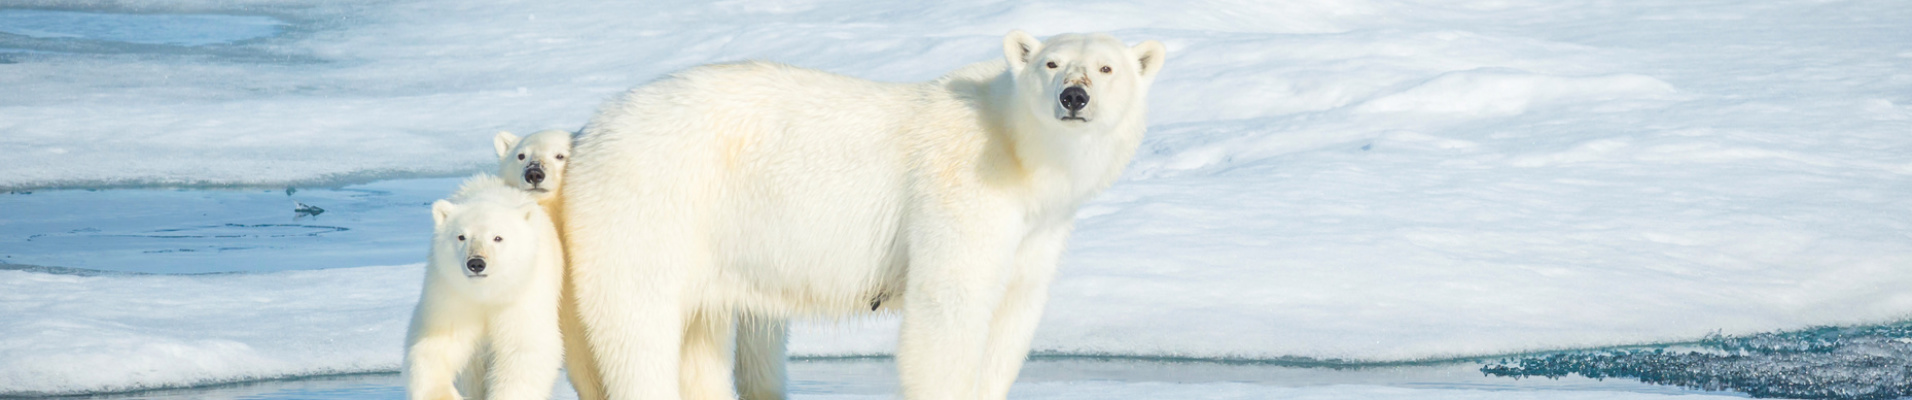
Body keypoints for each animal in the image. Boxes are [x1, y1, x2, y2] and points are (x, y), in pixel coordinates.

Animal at [558, 32, 1162, 400]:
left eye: (1107, 67)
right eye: (1051, 63)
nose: (1074, 96)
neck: (1017, 152)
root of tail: (592, 128)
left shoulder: (1038, 228)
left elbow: (1014, 312)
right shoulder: (960, 191)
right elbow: (948, 308)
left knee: (699, 333)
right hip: (651, 201)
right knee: (637, 321)